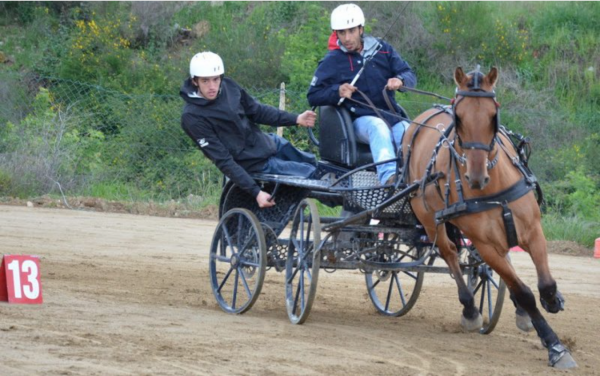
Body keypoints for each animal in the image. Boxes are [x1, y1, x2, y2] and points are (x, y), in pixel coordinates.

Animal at [404, 66, 576, 368]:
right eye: (459, 117)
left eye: (493, 115)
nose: (476, 177)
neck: (494, 186)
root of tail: (421, 118)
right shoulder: (486, 245)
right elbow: (524, 292)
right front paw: (555, 346)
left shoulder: (533, 230)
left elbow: (544, 283)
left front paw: (553, 300)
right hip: (427, 216)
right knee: (449, 253)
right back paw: (471, 310)